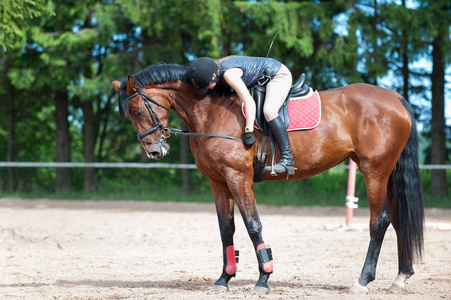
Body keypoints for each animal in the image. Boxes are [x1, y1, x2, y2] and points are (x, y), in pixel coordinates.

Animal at [111, 62, 426, 294]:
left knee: (380, 221)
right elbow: (226, 230)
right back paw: (401, 277)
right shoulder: (218, 182)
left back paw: (362, 281)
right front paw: (223, 279)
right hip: (386, 173)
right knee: (399, 219)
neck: (210, 112)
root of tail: (396, 98)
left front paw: (263, 279)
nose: (155, 151)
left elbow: (253, 226)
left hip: (375, 171)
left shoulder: (238, 178)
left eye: (137, 109)